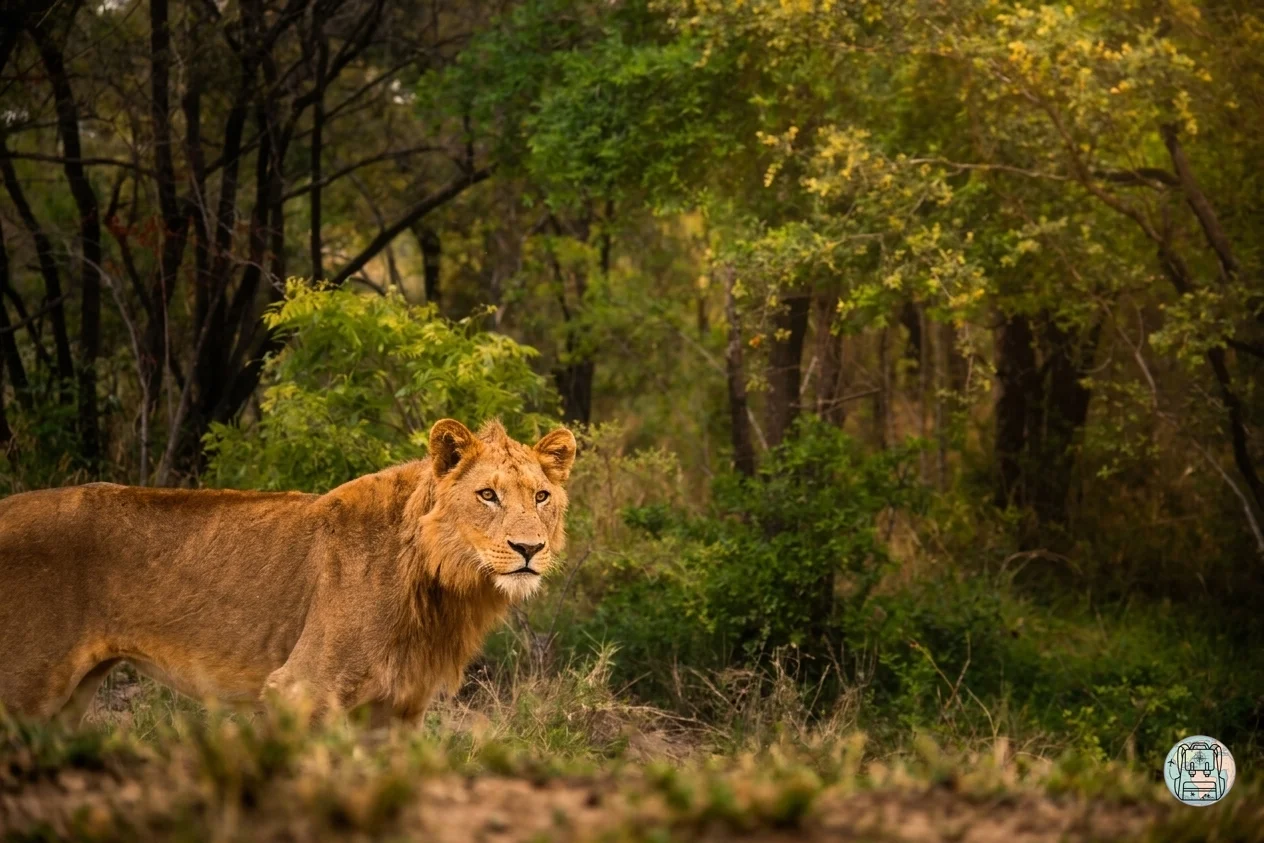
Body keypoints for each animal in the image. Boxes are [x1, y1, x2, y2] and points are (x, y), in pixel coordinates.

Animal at [0, 418, 576, 726]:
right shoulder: (303, 688)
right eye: (487, 495)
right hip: (24, 688)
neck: (439, 582)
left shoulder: (395, 710)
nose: (529, 548)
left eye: (541, 496)